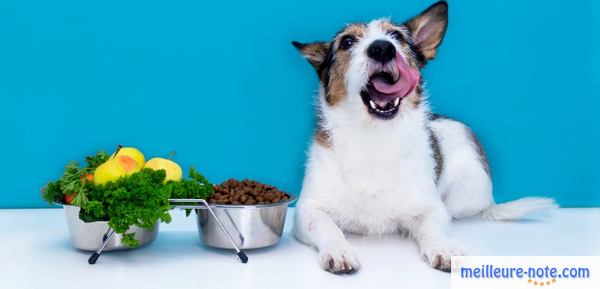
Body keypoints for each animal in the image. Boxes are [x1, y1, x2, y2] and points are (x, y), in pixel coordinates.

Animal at [292, 0, 556, 274]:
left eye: (396, 36)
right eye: (347, 42)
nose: (382, 48)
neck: (375, 137)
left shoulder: (432, 208)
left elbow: (432, 227)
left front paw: (444, 247)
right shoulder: (306, 210)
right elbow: (326, 226)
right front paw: (338, 250)